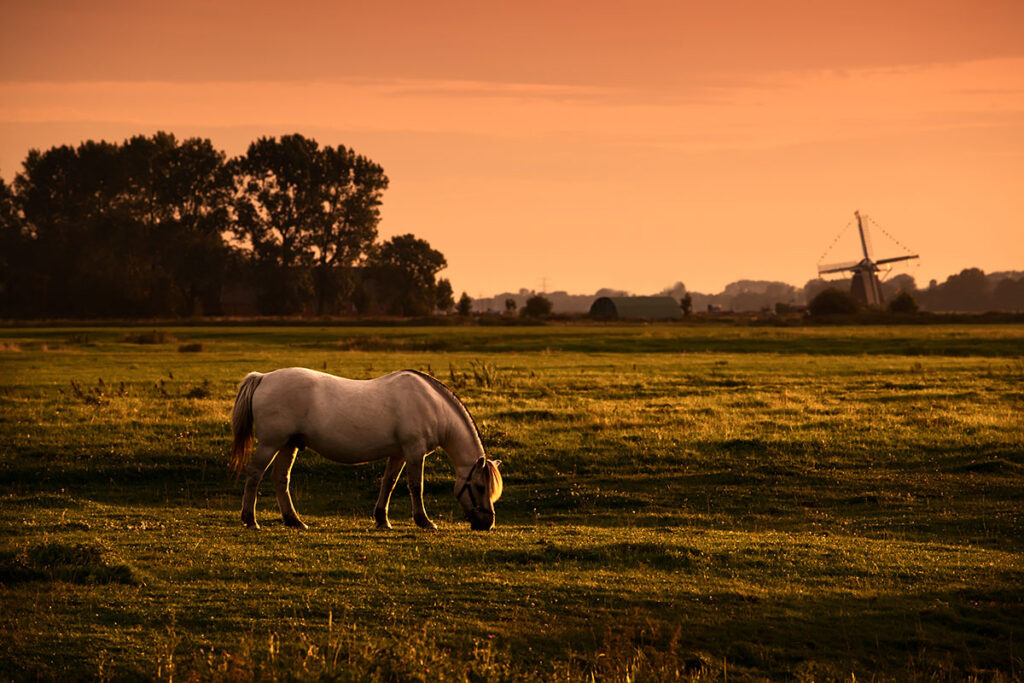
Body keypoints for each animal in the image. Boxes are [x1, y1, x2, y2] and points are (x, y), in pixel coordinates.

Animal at [230, 368, 505, 532]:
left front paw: (382, 519)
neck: (432, 405)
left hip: (289, 444)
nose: (487, 523)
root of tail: (263, 377)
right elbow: (415, 486)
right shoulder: (414, 452)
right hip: (271, 444)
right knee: (255, 475)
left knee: (280, 478)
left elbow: (389, 483)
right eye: (480, 487)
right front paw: (424, 521)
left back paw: (294, 521)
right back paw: (250, 519)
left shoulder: (399, 453)